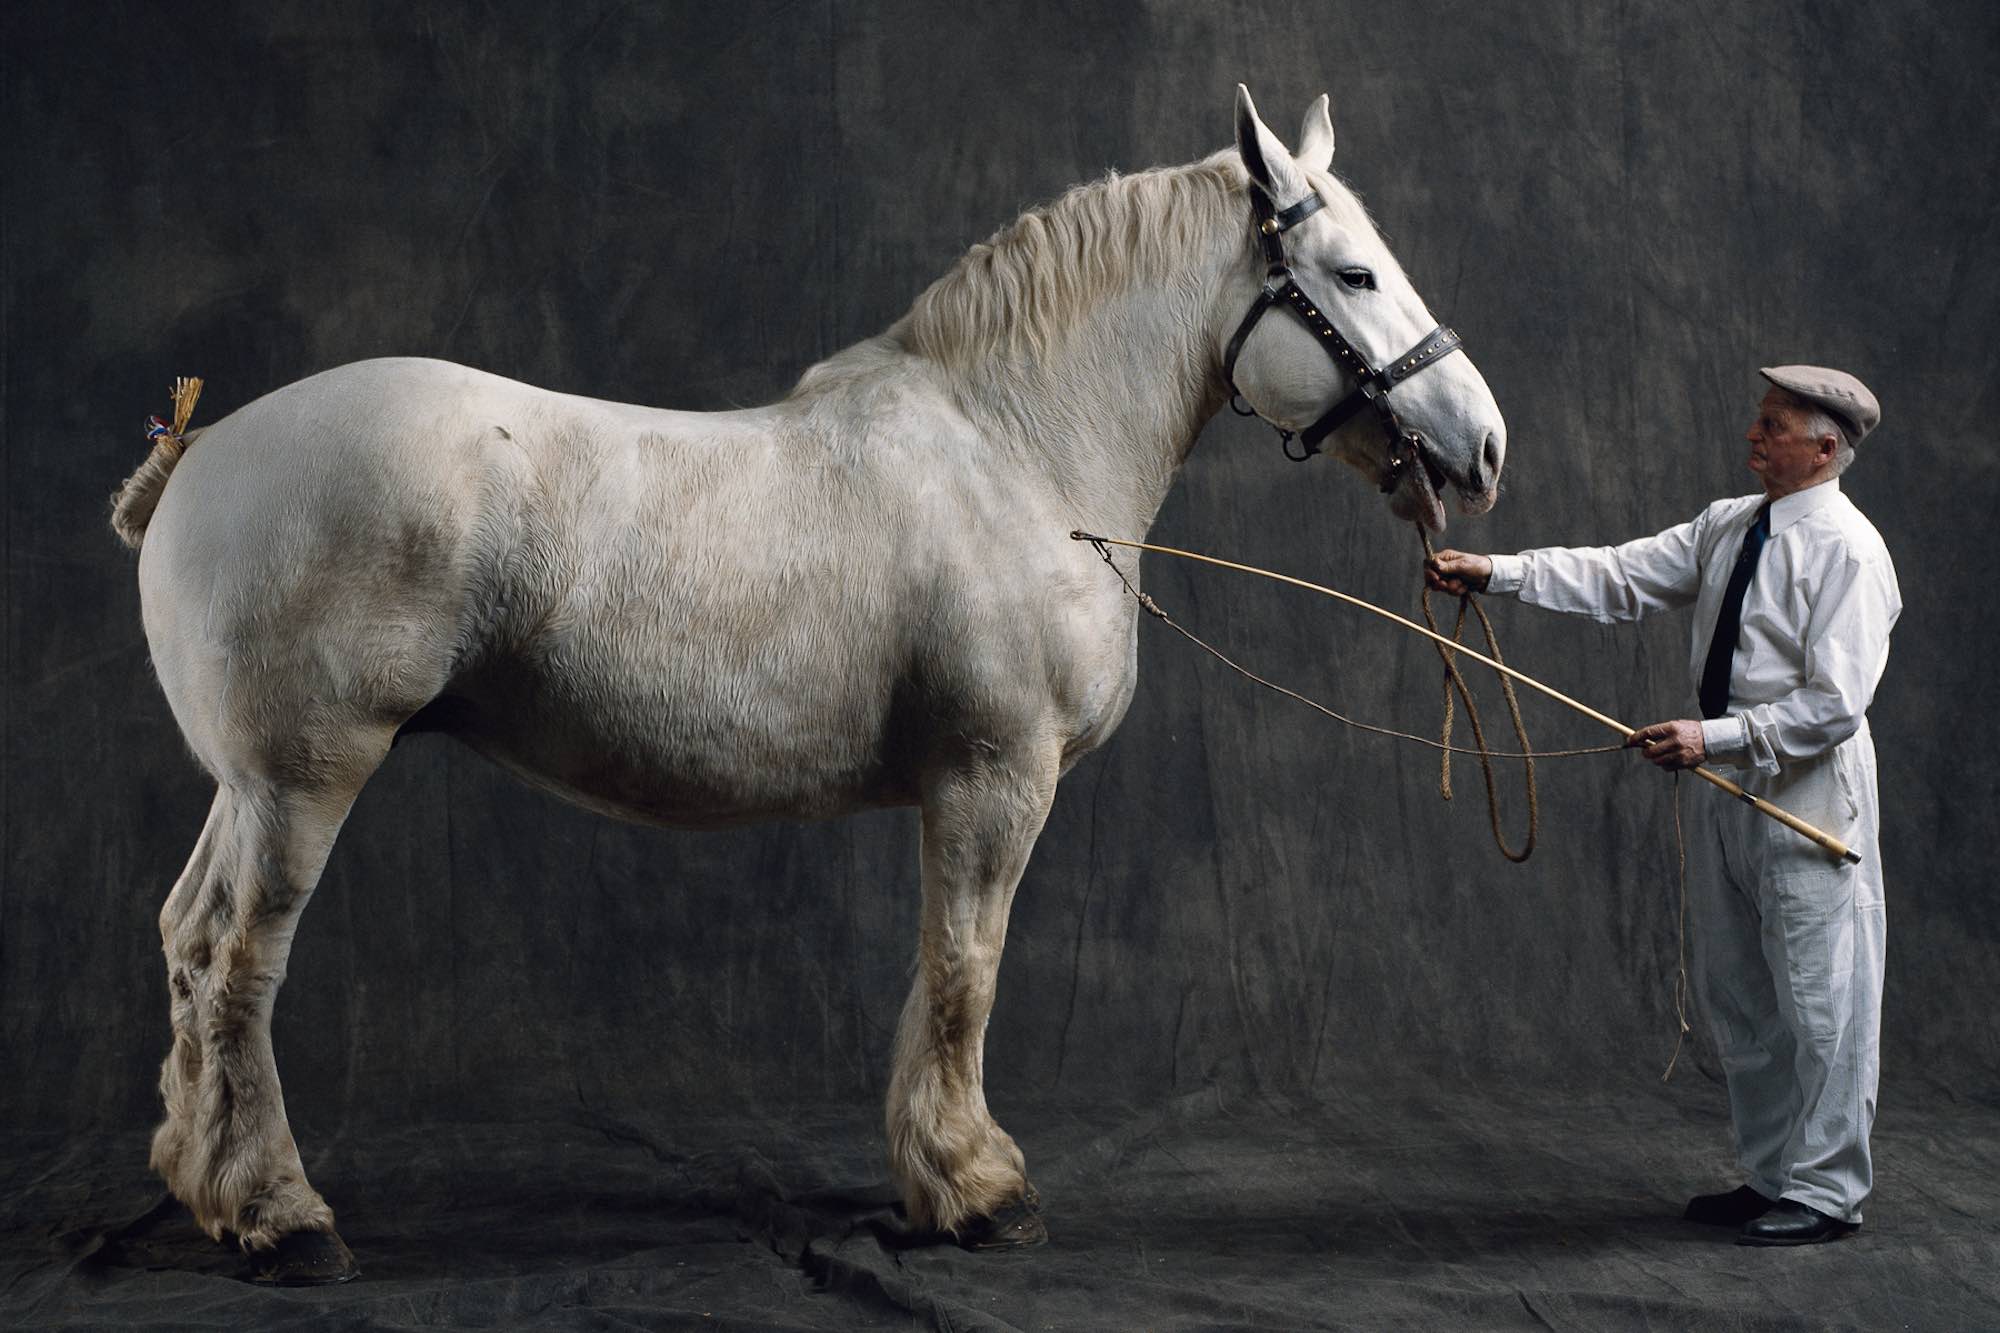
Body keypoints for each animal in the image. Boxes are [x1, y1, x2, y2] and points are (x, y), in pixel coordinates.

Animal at [109, 88, 1504, 1280]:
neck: (1014, 450)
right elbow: (965, 968)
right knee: (237, 960)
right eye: (1353, 275)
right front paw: (978, 1190)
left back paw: (202, 1182)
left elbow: (940, 971)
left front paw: (939, 1177)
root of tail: (203, 454)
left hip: (247, 788)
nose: (1481, 445)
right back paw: (281, 1216)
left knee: (185, 939)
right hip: (303, 781)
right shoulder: (992, 779)